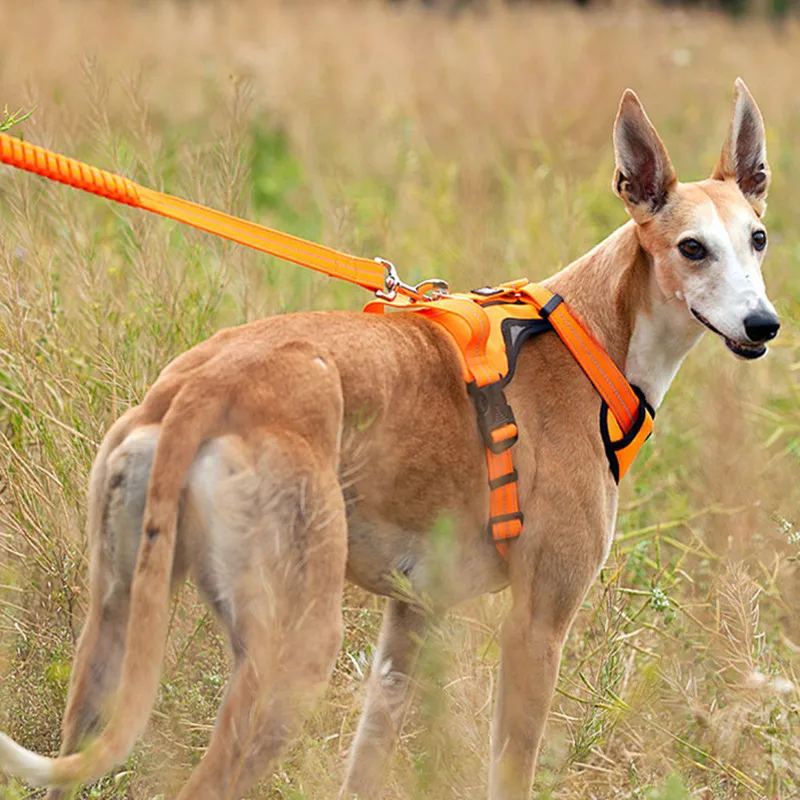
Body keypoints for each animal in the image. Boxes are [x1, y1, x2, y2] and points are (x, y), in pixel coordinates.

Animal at [0, 76, 780, 800]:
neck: (587, 335)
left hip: (111, 630)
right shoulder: (536, 626)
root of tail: (203, 385)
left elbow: (366, 762)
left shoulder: (410, 624)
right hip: (294, 654)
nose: (764, 325)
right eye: (692, 248)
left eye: (759, 238)